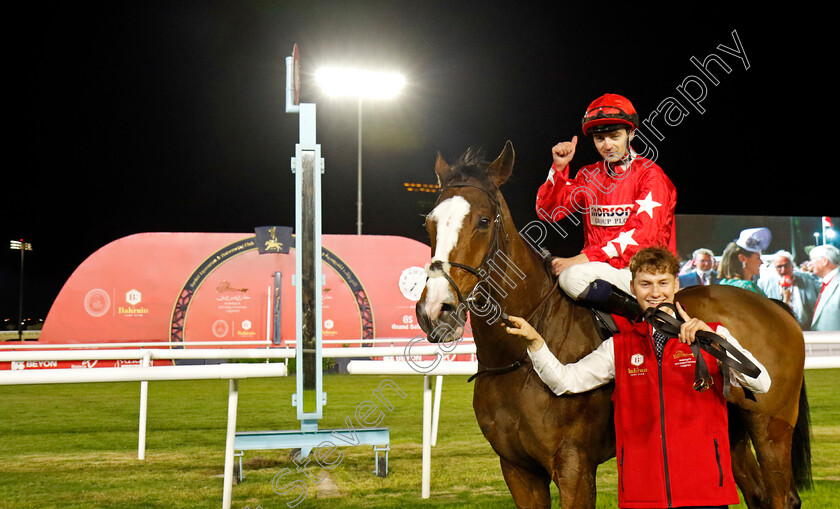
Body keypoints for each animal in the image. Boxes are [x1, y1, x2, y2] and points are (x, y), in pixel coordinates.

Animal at [416, 140, 812, 508]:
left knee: (780, 496)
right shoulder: (517, 469)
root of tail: (772, 305)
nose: (436, 309)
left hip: (771, 427)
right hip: (728, 435)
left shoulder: (574, 465)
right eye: (428, 222)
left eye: (483, 221)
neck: (514, 359)